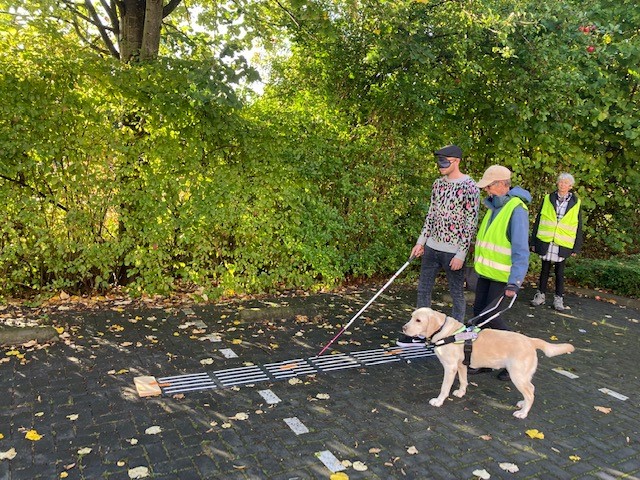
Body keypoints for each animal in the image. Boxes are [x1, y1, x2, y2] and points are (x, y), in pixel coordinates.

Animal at [400, 308, 576, 416]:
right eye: (411, 317)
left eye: (418, 320)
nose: (403, 328)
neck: (446, 333)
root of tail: (531, 341)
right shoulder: (461, 365)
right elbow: (463, 381)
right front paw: (461, 392)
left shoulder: (450, 367)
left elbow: (444, 388)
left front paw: (438, 401)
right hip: (524, 375)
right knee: (531, 390)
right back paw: (522, 403)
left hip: (517, 375)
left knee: (530, 393)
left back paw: (523, 413)